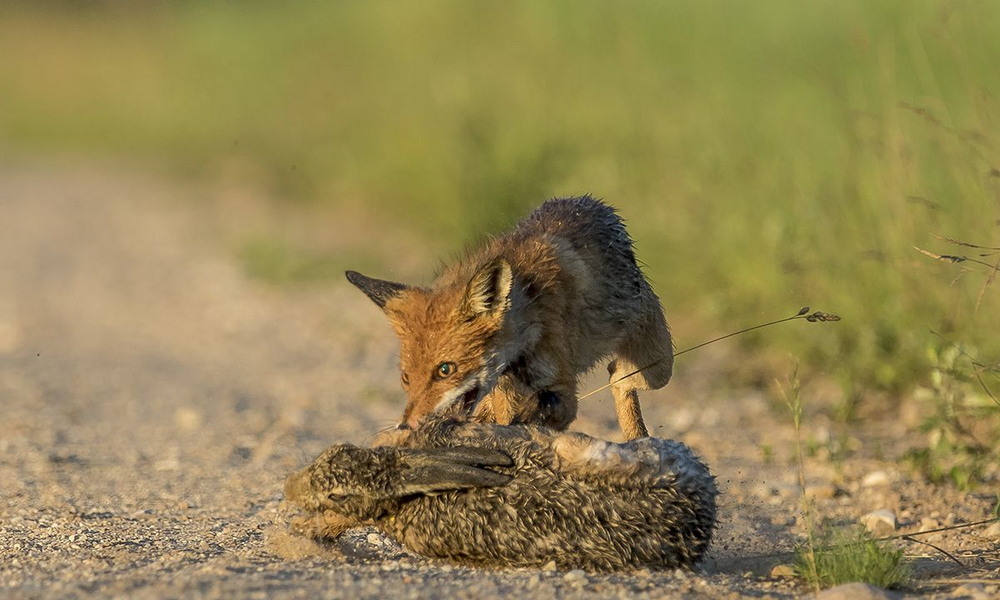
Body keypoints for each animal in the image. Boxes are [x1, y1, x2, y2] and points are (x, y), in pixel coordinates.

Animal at [348, 197, 676, 440]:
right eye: (406, 377)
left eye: (445, 370)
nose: (407, 425)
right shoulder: (506, 392)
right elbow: (507, 420)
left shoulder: (562, 389)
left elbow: (539, 414)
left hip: (657, 368)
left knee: (619, 377)